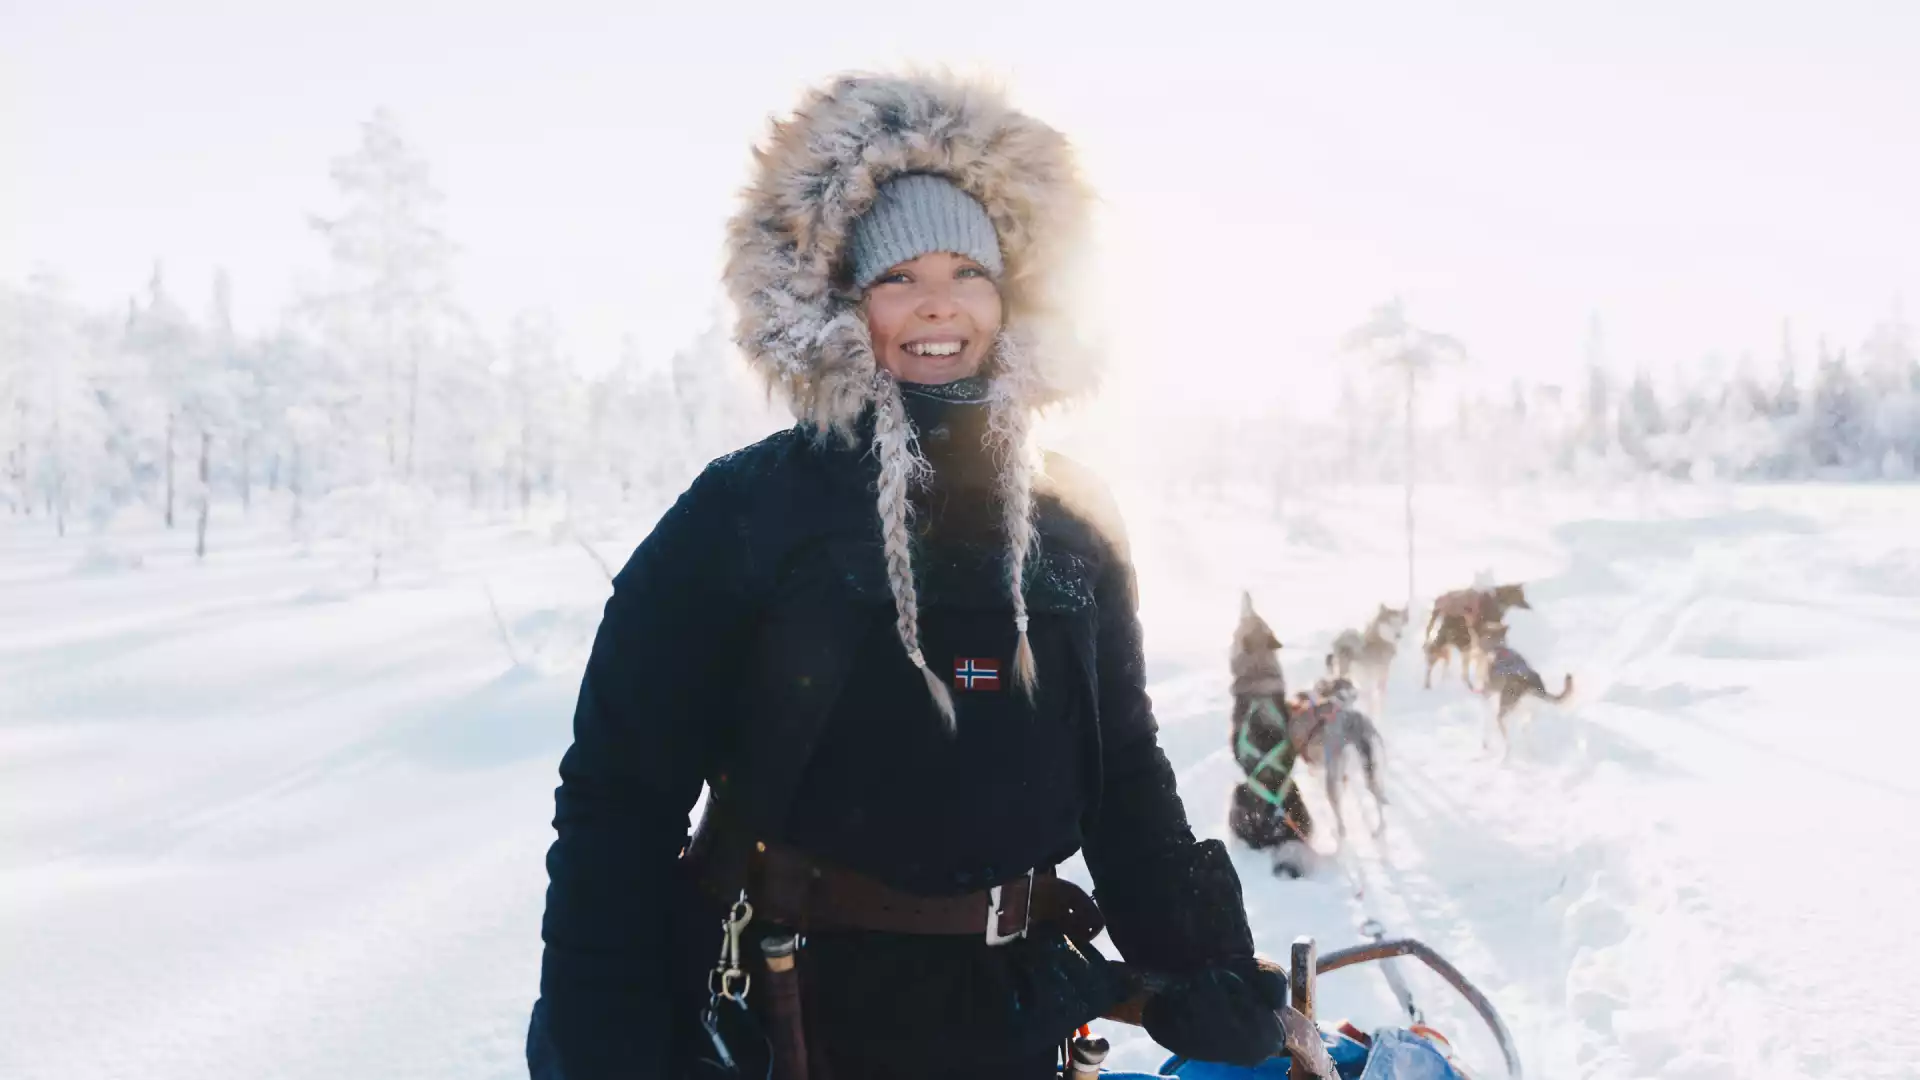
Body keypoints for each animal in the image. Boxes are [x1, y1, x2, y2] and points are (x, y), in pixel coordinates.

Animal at [1466, 618, 1574, 753]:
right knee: (1526, 735)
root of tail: (1528, 683)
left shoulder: (1486, 695)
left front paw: (1485, 744)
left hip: (1503, 714)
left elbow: (1486, 722)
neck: (1496, 647)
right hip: (1527, 715)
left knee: (1508, 742)